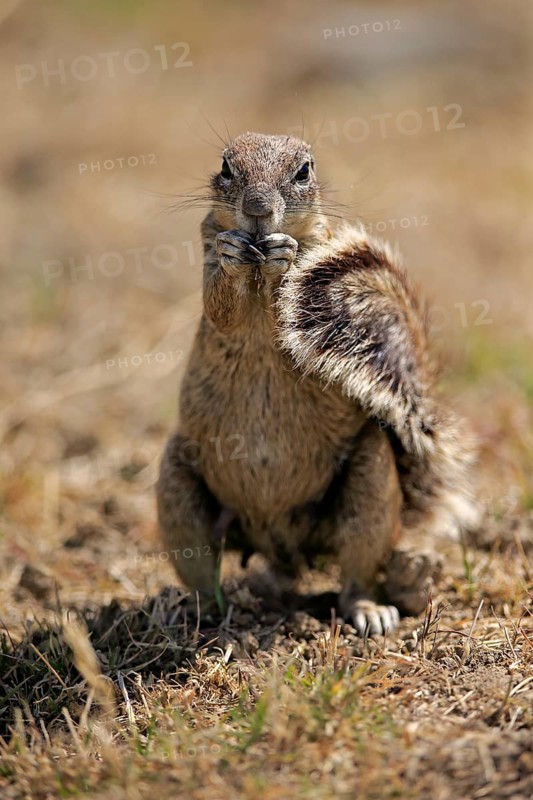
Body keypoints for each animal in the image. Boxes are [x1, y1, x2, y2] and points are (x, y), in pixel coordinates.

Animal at [157, 132, 479, 636]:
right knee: (203, 572)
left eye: (304, 170)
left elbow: (286, 298)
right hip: (177, 487)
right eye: (226, 166)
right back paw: (194, 609)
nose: (257, 207)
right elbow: (220, 306)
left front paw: (282, 257)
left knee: (358, 572)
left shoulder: (315, 252)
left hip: (369, 488)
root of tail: (282, 544)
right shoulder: (207, 242)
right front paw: (233, 259)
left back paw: (372, 610)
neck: (256, 263)